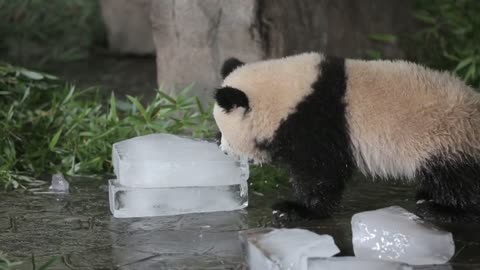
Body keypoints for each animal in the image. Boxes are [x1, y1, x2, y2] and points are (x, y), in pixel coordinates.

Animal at [213, 51, 480, 223]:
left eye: (225, 133)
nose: (223, 151)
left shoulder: (317, 122)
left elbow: (320, 172)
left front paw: (294, 209)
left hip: (448, 138)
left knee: (457, 178)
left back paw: (442, 209)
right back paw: (426, 196)